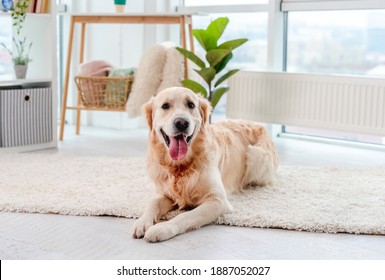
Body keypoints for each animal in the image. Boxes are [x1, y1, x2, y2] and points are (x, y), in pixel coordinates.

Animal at [131, 86, 276, 242]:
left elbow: (185, 215)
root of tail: (258, 124)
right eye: (165, 106)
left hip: (255, 154)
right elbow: (153, 202)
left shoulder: (218, 201)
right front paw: (142, 222)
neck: (181, 167)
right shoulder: (165, 193)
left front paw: (162, 228)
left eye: (191, 105)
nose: (182, 123)